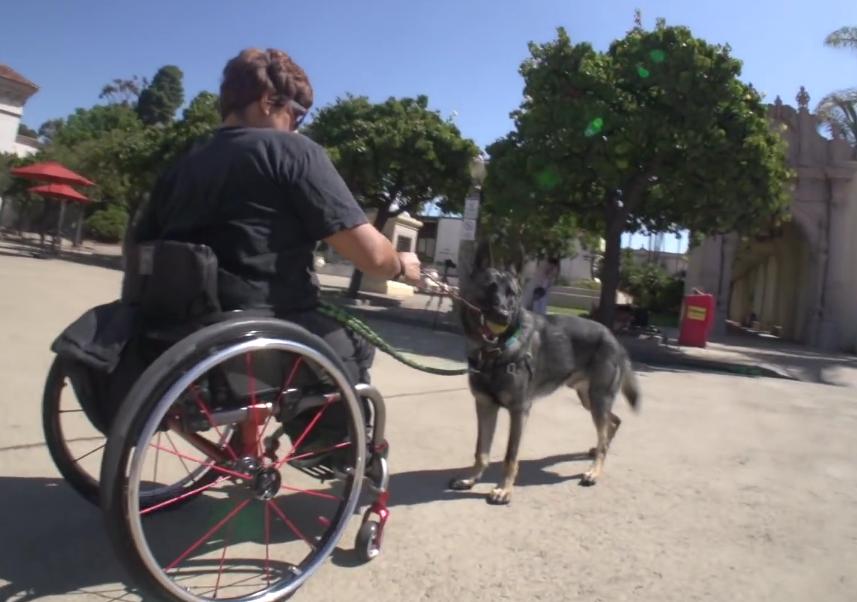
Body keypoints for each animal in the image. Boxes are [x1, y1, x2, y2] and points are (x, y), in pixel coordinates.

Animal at [452, 243, 640, 502]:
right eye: (489, 288)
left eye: (512, 293)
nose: (503, 316)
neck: (495, 352)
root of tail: (614, 338)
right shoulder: (485, 406)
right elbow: (482, 450)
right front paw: (471, 478)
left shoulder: (519, 411)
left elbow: (510, 455)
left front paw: (504, 489)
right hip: (589, 399)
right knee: (612, 424)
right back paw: (597, 452)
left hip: (598, 399)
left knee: (605, 431)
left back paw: (594, 471)